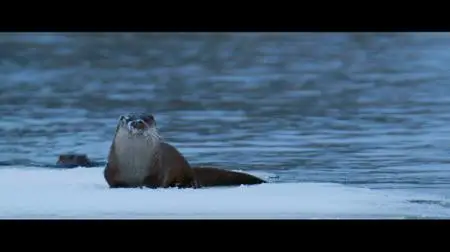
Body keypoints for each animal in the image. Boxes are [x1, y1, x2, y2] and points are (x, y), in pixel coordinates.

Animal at [103, 113, 266, 189]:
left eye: (147, 119)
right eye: (127, 119)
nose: (138, 122)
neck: (134, 165)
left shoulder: (158, 170)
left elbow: (155, 181)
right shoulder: (111, 168)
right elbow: (111, 180)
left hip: (184, 167)